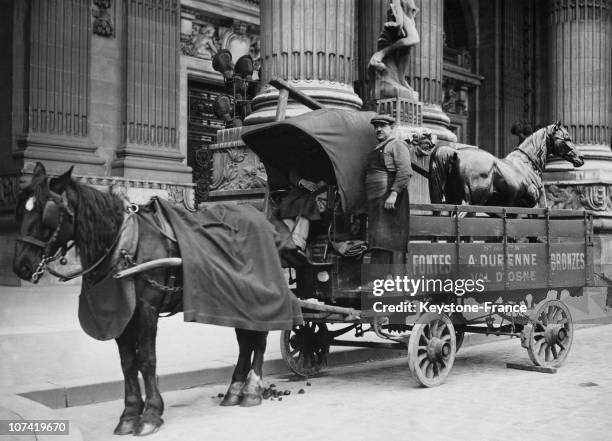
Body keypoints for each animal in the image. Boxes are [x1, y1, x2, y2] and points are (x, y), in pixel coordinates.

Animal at [11, 163, 268, 434]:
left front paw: (151, 414)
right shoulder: (121, 311)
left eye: (46, 214)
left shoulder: (146, 309)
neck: (126, 245)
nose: (21, 265)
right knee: (245, 341)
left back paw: (252, 389)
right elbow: (127, 362)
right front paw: (130, 413)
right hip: (237, 302)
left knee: (259, 339)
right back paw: (234, 390)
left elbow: (146, 359)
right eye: (20, 211)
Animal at [428, 122, 584, 208]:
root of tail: (455, 152)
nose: (581, 158)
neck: (527, 164)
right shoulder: (534, 204)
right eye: (567, 138)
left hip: (453, 199)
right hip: (471, 203)